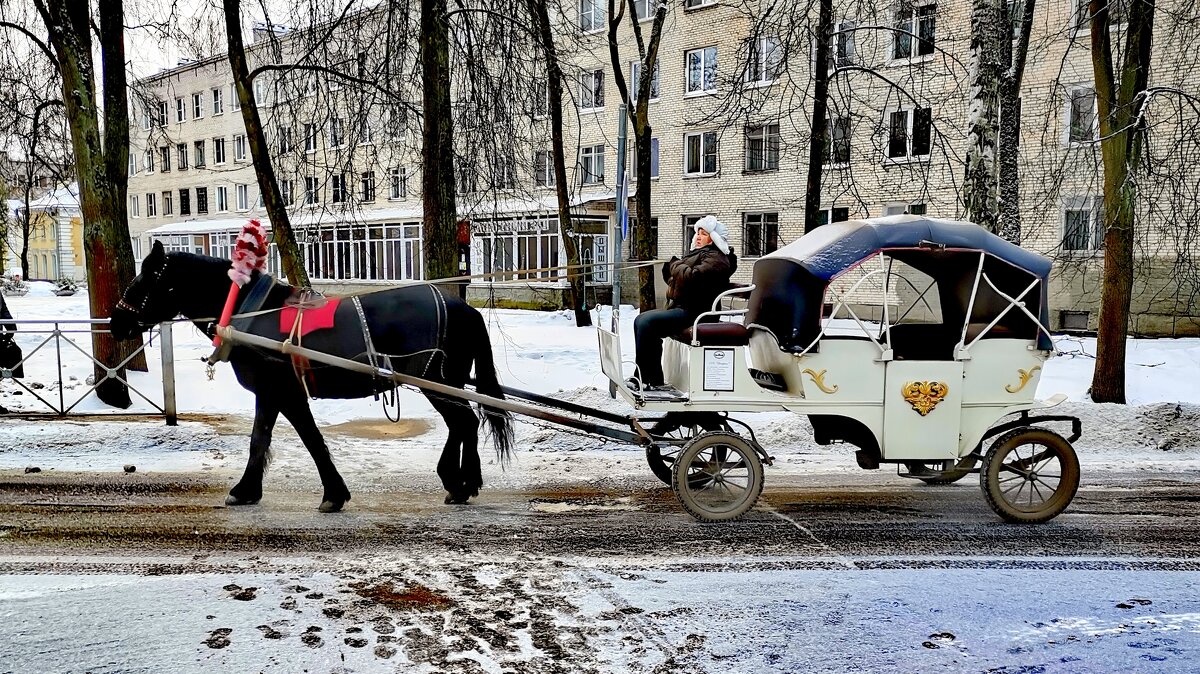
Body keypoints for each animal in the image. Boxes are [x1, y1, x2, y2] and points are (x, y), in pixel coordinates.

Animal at [106, 241, 511, 508]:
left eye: (142, 282)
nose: (116, 322)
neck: (250, 314)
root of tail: (464, 308)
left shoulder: (281, 391)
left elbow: (299, 440)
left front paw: (330, 494)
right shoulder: (275, 394)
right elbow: (267, 439)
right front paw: (251, 490)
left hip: (438, 382)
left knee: (463, 423)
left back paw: (459, 481)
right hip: (450, 383)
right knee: (465, 424)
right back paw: (464, 479)